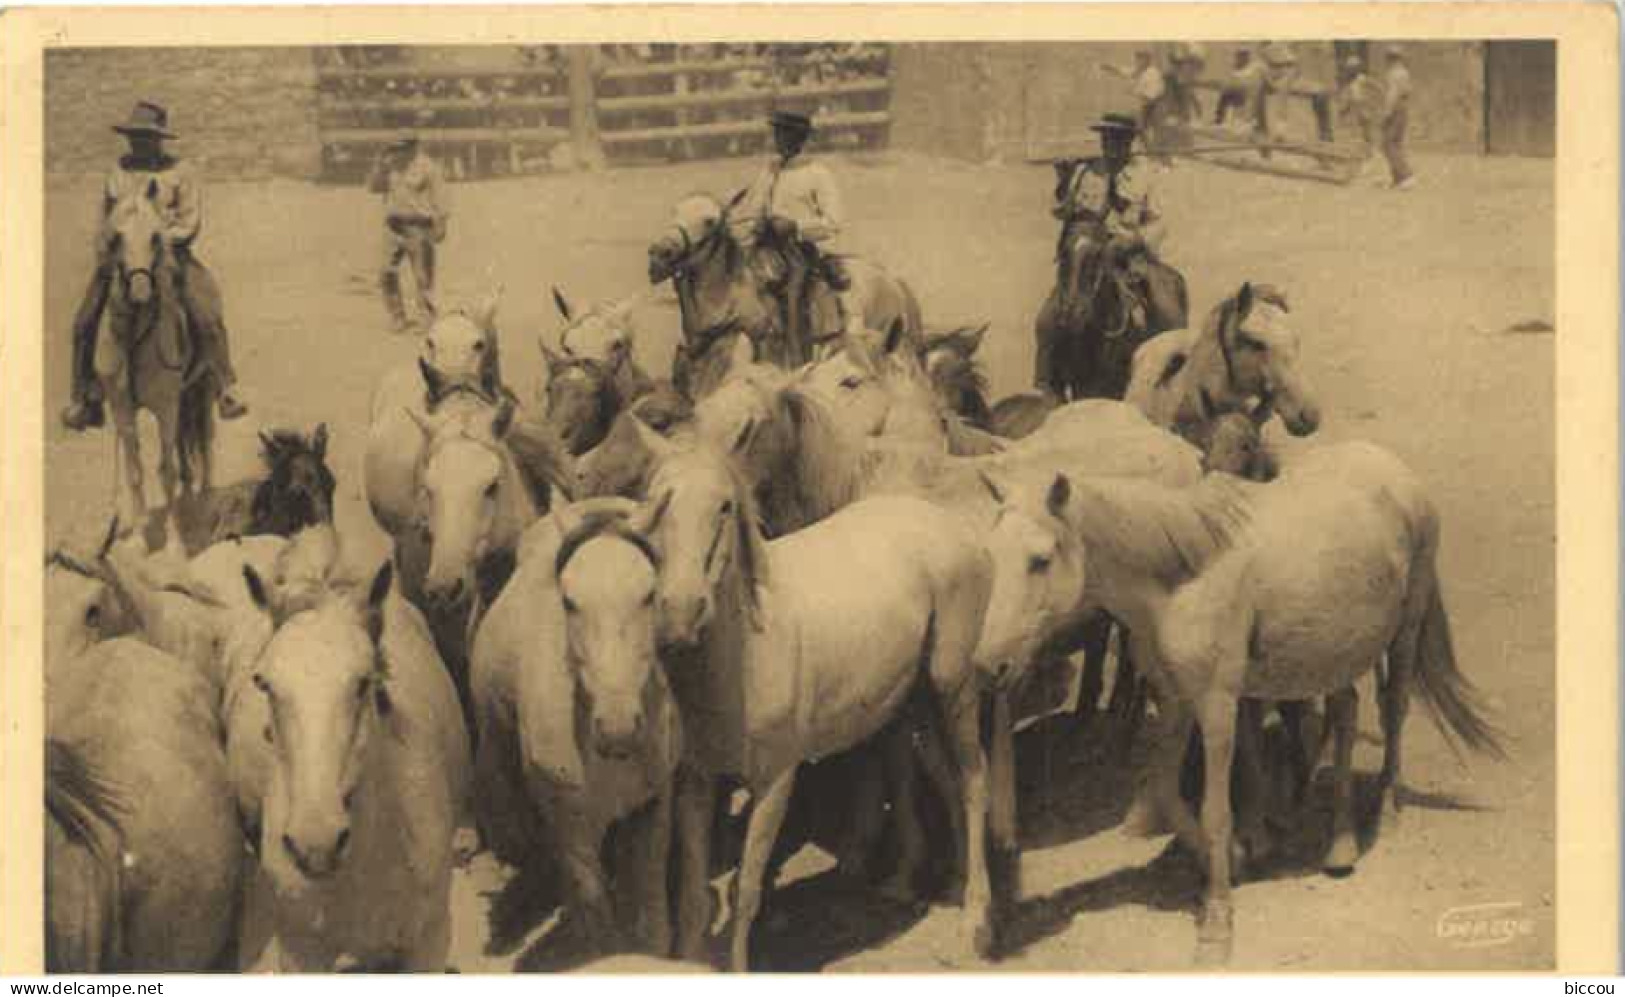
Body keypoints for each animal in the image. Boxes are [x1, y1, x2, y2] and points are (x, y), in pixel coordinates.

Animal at [97, 181, 221, 539]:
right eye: (116, 237)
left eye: (155, 237)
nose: (140, 293)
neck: (134, 341)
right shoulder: (123, 410)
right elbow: (135, 471)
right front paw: (138, 536)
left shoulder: (165, 406)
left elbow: (164, 470)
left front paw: (176, 540)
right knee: (185, 444)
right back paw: (190, 498)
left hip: (203, 387)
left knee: (206, 439)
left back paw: (206, 505)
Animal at [471, 496, 679, 961]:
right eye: (569, 601)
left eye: (649, 594)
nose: (618, 728)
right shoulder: (572, 833)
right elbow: (600, 930)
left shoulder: (650, 810)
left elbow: (652, 923)